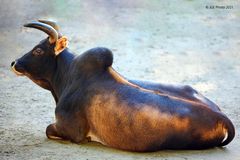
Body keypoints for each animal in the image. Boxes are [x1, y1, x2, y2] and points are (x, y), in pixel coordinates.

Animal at [11, 20, 234, 152]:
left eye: (38, 50)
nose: (14, 63)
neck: (68, 75)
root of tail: (221, 117)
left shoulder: (72, 131)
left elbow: (49, 130)